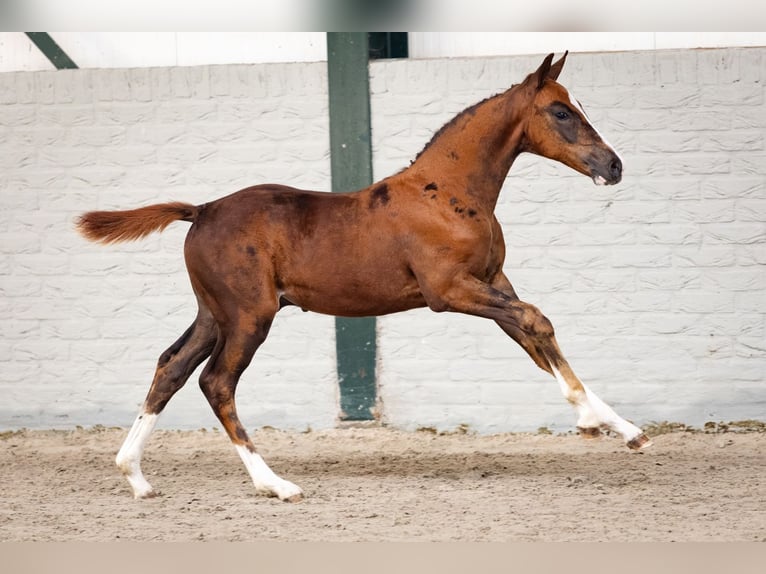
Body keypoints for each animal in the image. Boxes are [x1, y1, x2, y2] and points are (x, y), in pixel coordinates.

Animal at [77, 52, 650, 502]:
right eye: (561, 112)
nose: (614, 166)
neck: (446, 193)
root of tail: (203, 210)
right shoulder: (450, 291)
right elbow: (537, 321)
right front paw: (592, 421)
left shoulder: (494, 283)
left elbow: (535, 337)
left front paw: (624, 429)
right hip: (248, 316)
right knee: (216, 382)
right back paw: (275, 485)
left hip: (214, 314)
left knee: (170, 368)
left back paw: (135, 477)